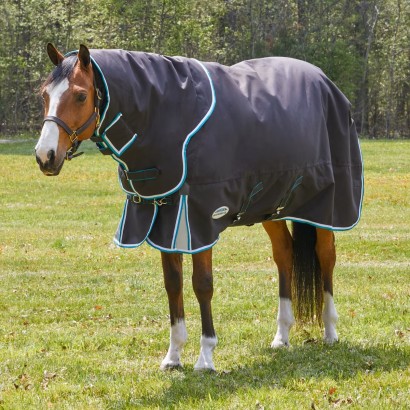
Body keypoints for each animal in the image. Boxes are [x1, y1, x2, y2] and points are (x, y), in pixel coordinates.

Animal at [35, 44, 362, 372]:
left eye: (80, 95)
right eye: (44, 94)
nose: (45, 156)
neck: (168, 116)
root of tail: (325, 82)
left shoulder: (198, 219)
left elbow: (202, 284)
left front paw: (206, 356)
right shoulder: (165, 216)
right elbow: (173, 284)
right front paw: (173, 355)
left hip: (326, 206)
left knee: (326, 256)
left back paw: (330, 330)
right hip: (274, 205)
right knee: (285, 255)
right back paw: (281, 335)